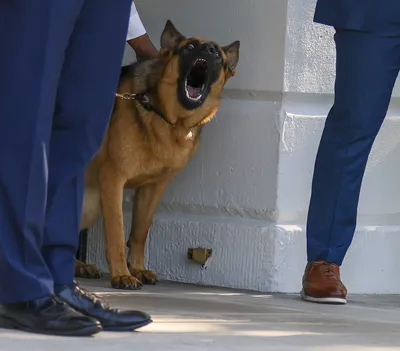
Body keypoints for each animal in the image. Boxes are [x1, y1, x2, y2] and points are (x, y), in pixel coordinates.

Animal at [74, 19, 239, 290]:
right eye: (189, 47)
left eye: (217, 54)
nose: (207, 51)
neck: (171, 121)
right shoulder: (112, 179)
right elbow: (118, 231)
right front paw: (122, 274)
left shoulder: (154, 188)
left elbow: (139, 232)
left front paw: (138, 269)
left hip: (89, 205)